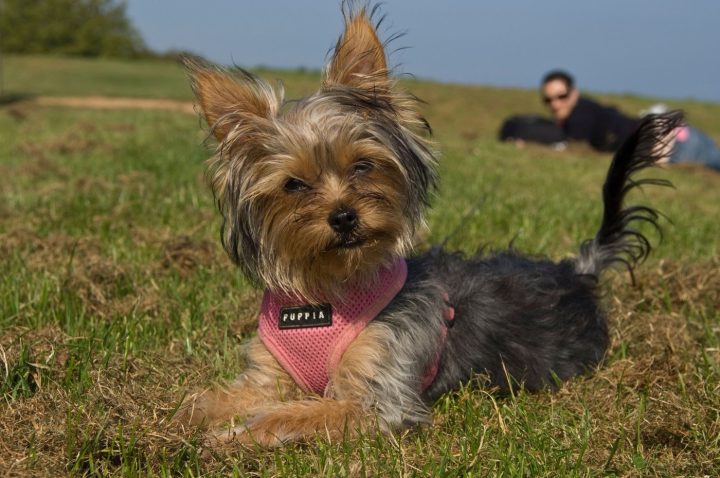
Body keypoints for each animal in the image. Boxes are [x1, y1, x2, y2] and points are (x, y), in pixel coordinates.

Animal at [176, 5, 680, 446]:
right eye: (294, 185)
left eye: (362, 166)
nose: (344, 216)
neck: (329, 292)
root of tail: (574, 271)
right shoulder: (268, 376)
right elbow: (212, 400)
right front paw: (181, 418)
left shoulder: (380, 399)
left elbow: (297, 413)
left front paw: (236, 434)